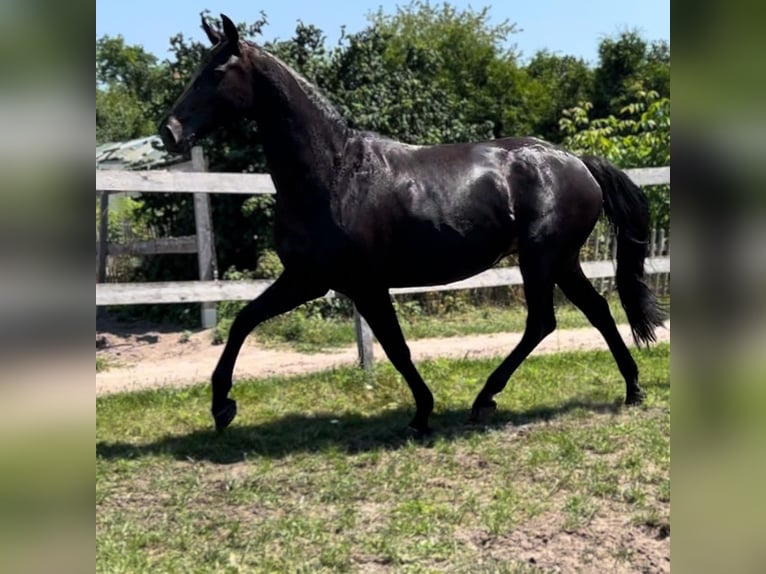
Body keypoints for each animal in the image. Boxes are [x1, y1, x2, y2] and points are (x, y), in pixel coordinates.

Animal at [159, 14, 668, 436]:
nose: (169, 131)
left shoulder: (363, 285)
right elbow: (244, 320)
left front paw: (422, 414)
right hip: (560, 260)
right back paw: (631, 389)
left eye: (216, 72)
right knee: (597, 311)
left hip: (541, 259)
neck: (334, 173)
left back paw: (485, 399)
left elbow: (396, 348)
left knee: (542, 322)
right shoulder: (306, 279)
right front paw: (222, 407)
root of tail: (576, 161)